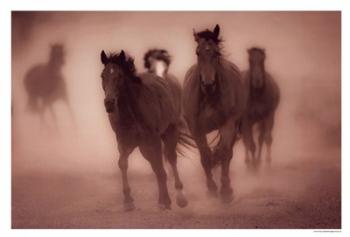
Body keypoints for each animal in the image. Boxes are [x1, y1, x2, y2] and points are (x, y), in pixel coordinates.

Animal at [100, 49, 189, 210]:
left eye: (119, 75)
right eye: (103, 75)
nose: (109, 103)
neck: (132, 113)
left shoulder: (153, 140)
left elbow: (160, 168)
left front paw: (165, 200)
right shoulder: (124, 141)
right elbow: (123, 163)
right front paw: (128, 201)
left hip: (169, 132)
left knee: (171, 158)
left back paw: (180, 196)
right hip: (143, 146)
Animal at [183, 23, 246, 202]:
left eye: (216, 53)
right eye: (197, 52)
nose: (208, 84)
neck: (209, 97)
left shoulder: (228, 124)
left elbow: (224, 153)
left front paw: (225, 191)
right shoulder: (196, 129)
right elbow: (205, 156)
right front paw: (211, 189)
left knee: (228, 153)